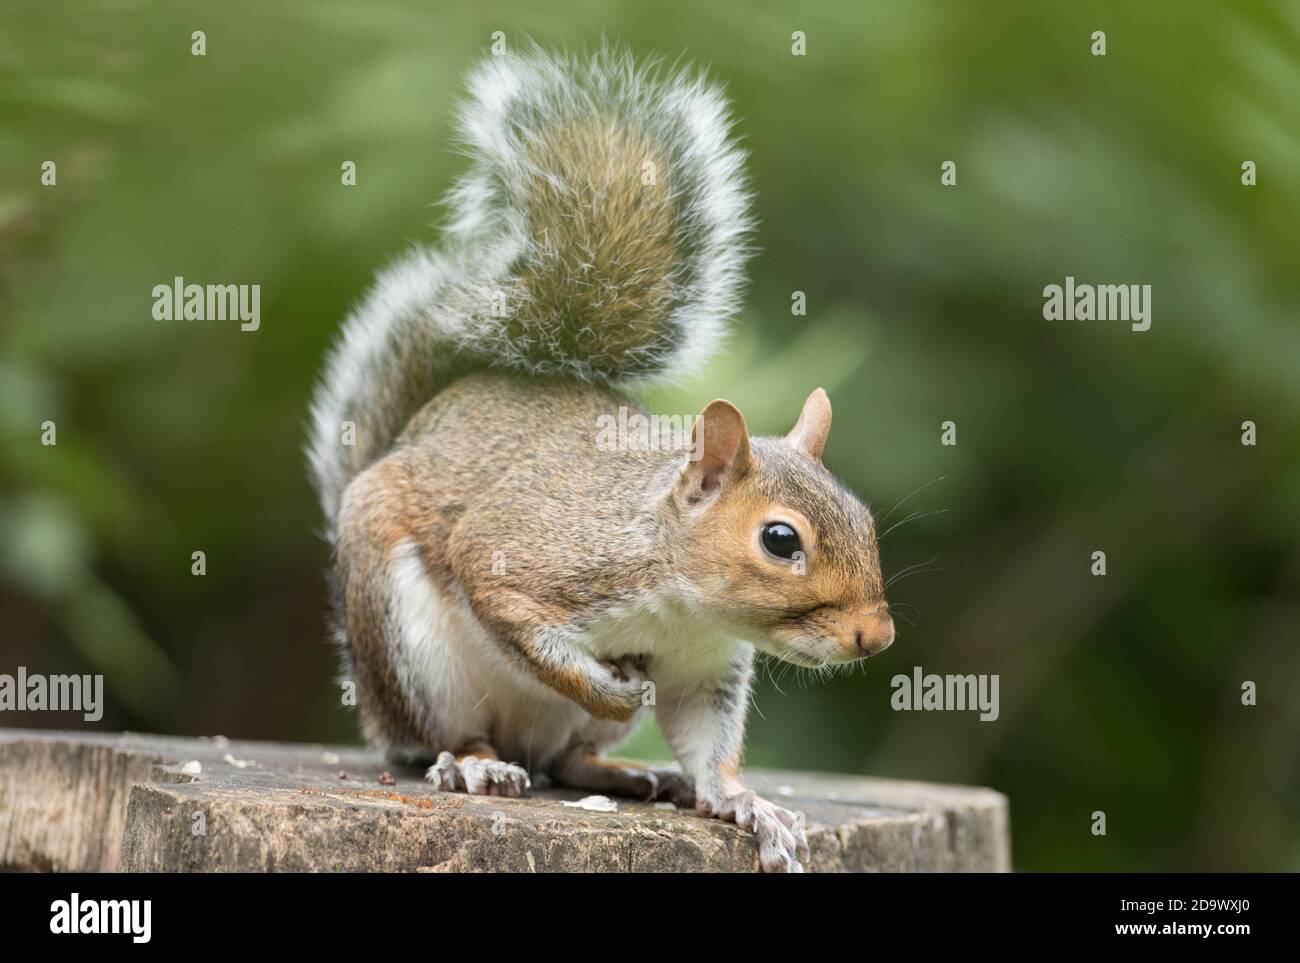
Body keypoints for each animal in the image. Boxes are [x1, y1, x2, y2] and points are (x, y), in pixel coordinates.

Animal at [307, 45, 894, 873]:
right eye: (781, 540)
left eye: (865, 517)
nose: (876, 636)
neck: (680, 601)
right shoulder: (528, 556)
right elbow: (515, 612)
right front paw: (607, 686)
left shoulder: (705, 667)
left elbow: (706, 743)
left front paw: (743, 801)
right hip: (409, 648)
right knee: (445, 737)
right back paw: (476, 763)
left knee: (563, 760)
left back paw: (625, 772)